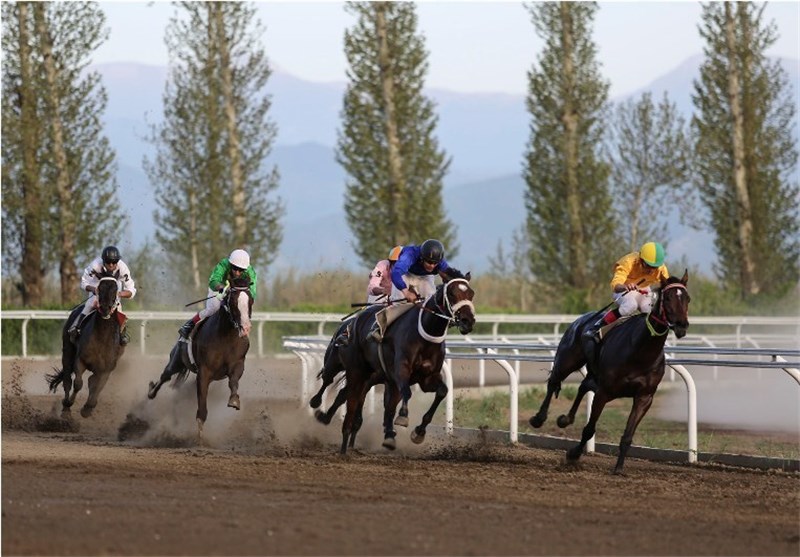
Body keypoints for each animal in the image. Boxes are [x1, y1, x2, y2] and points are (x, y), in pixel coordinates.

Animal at [47, 274, 124, 416]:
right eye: (99, 287)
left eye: (115, 289)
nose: (105, 308)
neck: (102, 338)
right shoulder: (80, 360)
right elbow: (78, 383)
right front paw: (69, 403)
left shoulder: (106, 369)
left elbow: (98, 387)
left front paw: (88, 408)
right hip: (67, 351)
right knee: (67, 379)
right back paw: (66, 410)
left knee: (91, 382)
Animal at [147, 276, 253, 436]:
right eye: (233, 302)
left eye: (251, 301)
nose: (245, 328)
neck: (226, 337)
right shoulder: (204, 371)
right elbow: (202, 400)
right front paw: (200, 433)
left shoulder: (238, 363)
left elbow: (233, 381)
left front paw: (234, 400)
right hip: (176, 360)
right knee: (165, 376)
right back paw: (151, 392)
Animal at [314, 276, 476, 454]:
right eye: (452, 294)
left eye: (471, 293)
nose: (468, 321)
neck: (426, 336)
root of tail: (351, 324)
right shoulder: (399, 372)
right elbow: (404, 395)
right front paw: (403, 417)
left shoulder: (426, 378)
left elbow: (441, 391)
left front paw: (418, 432)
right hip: (345, 366)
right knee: (330, 381)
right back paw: (320, 410)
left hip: (365, 376)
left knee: (349, 395)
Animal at [528, 270, 692, 474]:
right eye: (668, 297)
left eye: (687, 298)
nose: (681, 325)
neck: (640, 352)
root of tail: (583, 318)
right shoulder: (604, 392)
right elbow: (589, 429)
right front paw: (573, 454)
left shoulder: (644, 397)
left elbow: (627, 436)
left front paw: (619, 468)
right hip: (568, 360)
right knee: (554, 383)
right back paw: (539, 418)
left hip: (593, 373)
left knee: (583, 386)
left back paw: (565, 419)